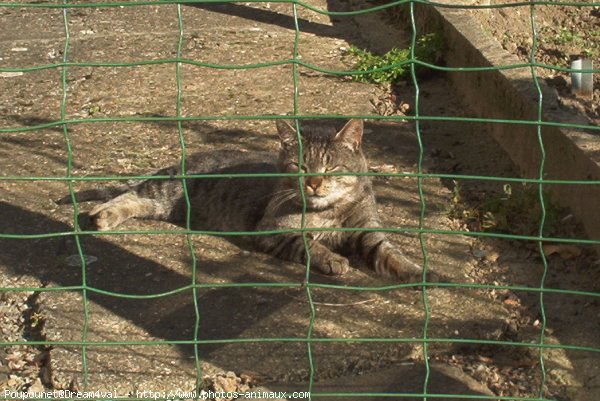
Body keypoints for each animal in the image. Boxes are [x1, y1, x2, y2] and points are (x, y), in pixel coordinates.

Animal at [58, 119, 428, 282]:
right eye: (300, 167)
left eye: (331, 167)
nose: (313, 183)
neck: (329, 212)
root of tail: (186, 159)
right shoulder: (272, 230)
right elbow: (309, 244)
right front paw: (333, 259)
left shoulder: (368, 232)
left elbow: (389, 253)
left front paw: (417, 272)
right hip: (165, 191)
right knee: (129, 193)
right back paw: (101, 215)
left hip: (164, 208)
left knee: (138, 201)